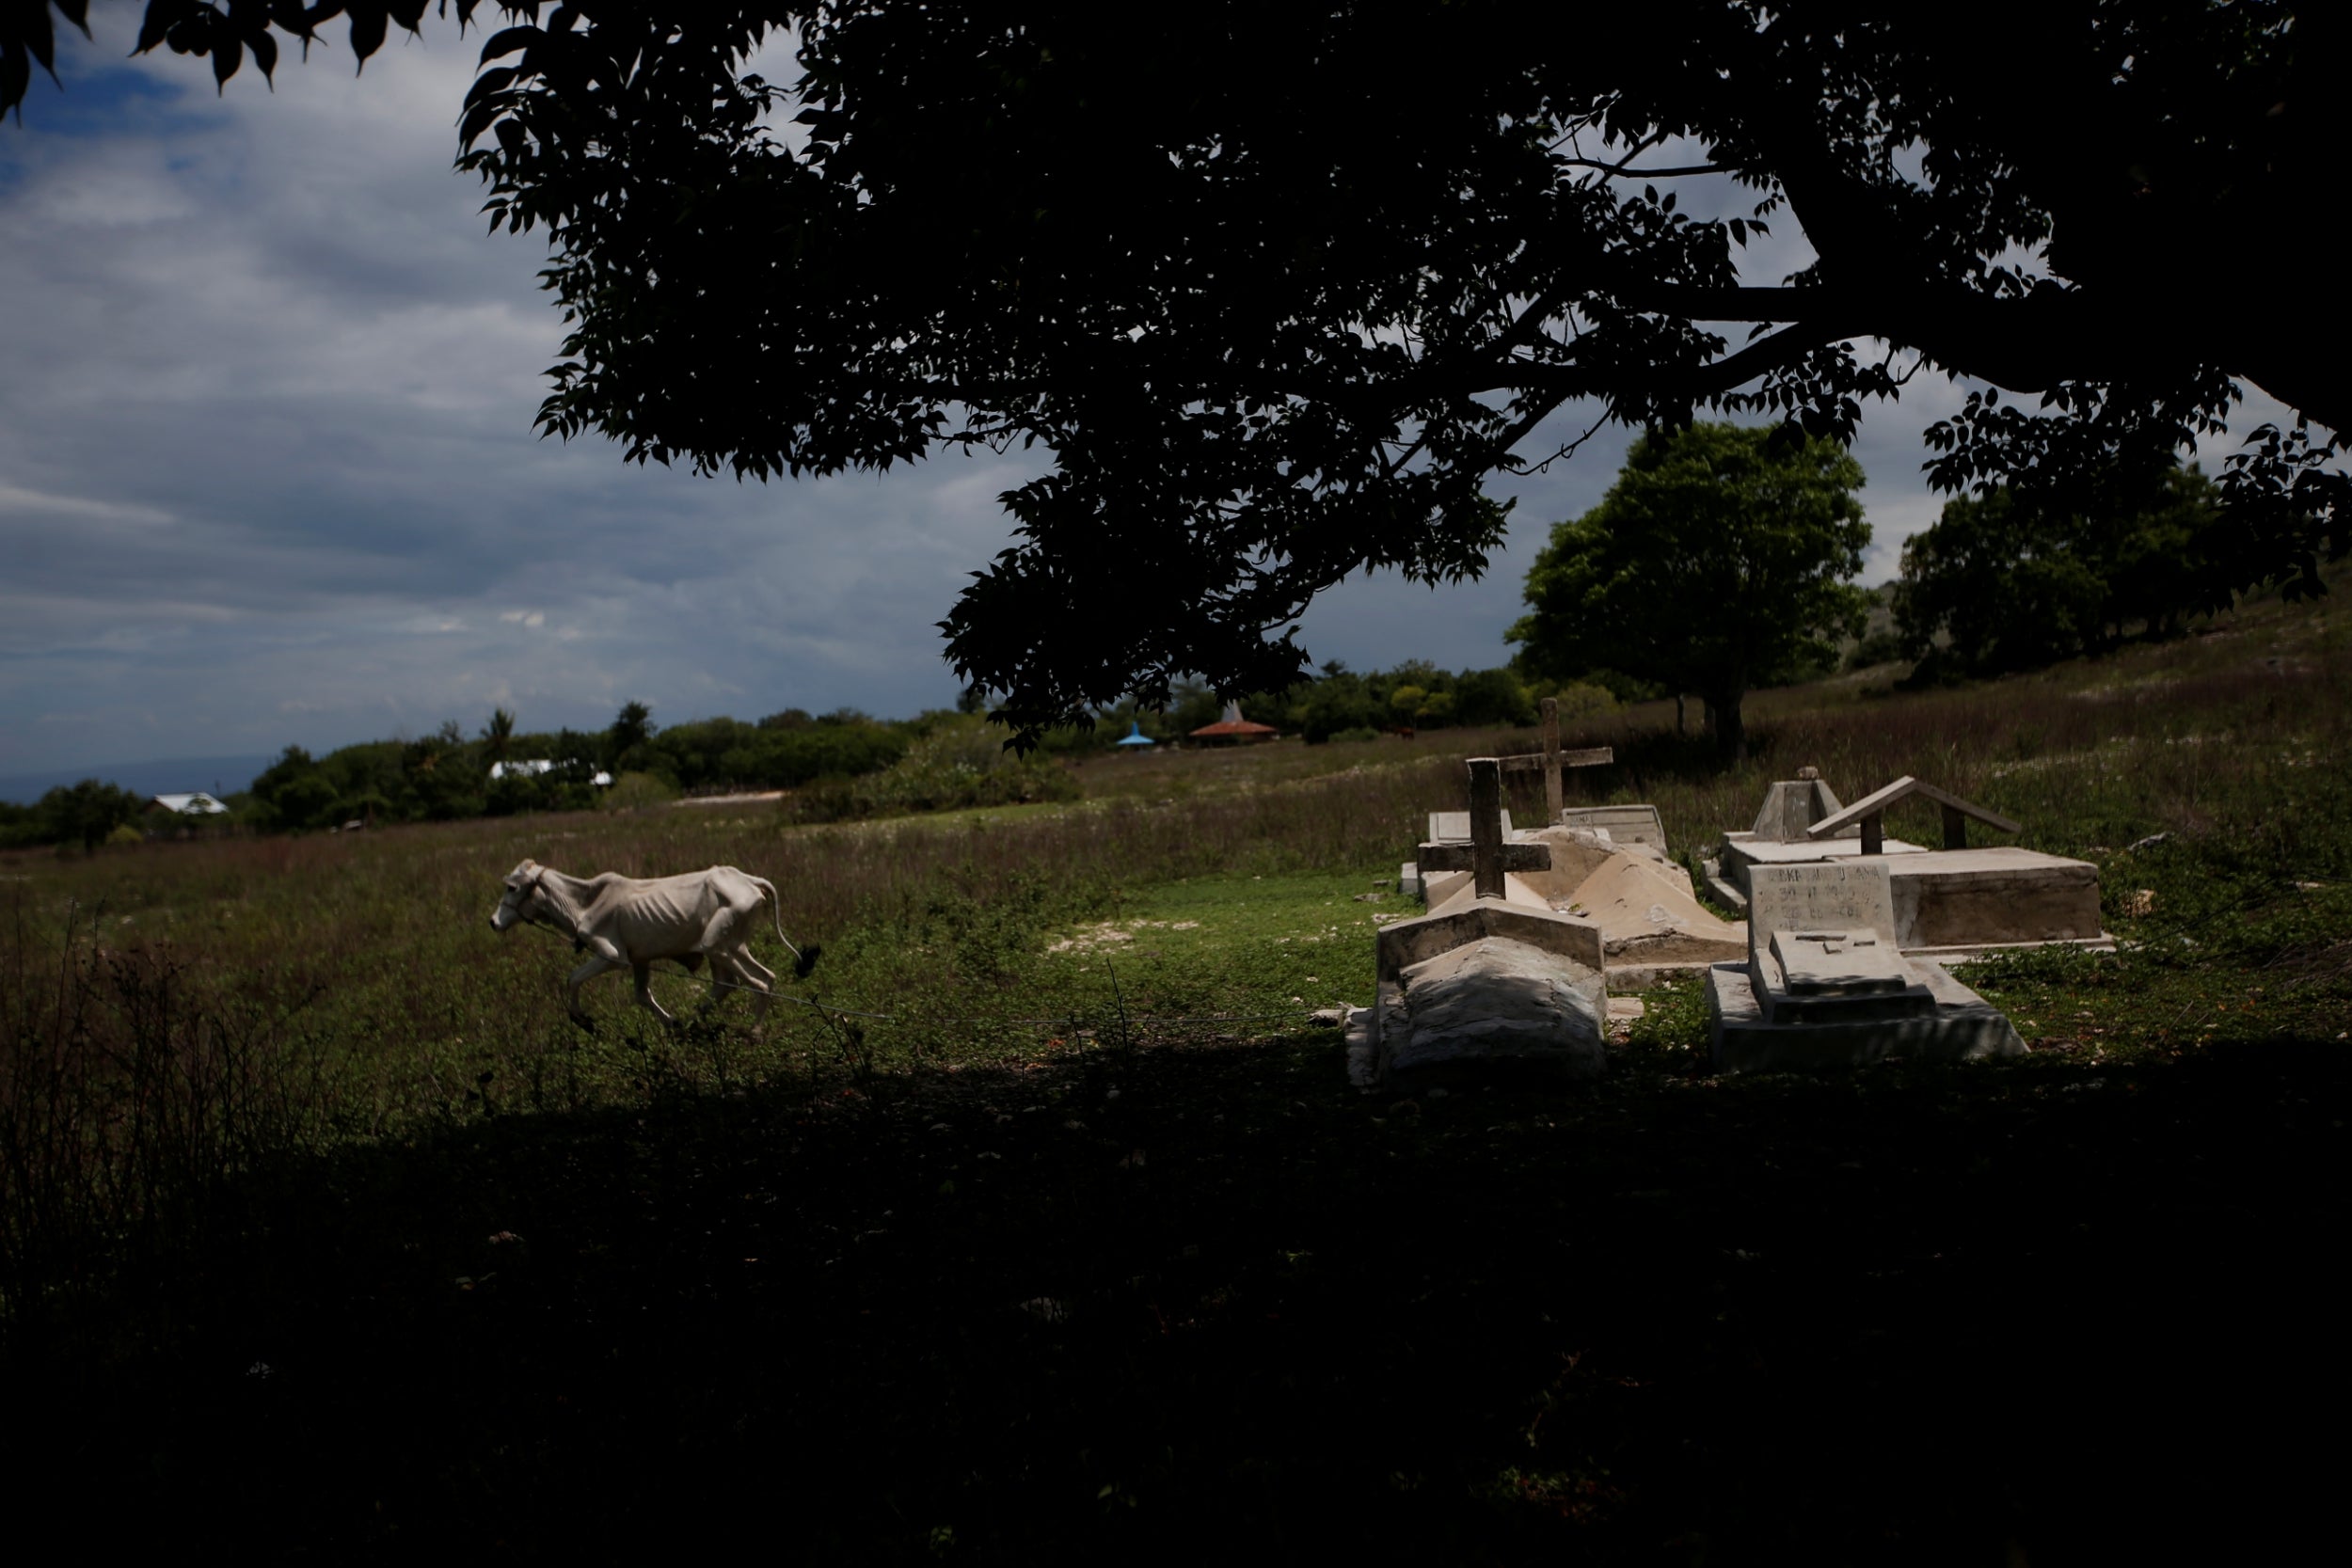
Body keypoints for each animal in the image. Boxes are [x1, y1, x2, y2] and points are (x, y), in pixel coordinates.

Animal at [489, 860, 818, 1029]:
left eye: (512, 887)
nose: (493, 922)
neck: (583, 904)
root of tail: (748, 880)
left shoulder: (612, 955)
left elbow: (573, 978)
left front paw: (581, 1018)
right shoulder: (640, 960)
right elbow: (642, 996)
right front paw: (672, 1023)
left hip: (715, 944)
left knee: (756, 983)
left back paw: (753, 1034)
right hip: (731, 946)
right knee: (754, 979)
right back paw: (694, 1021)